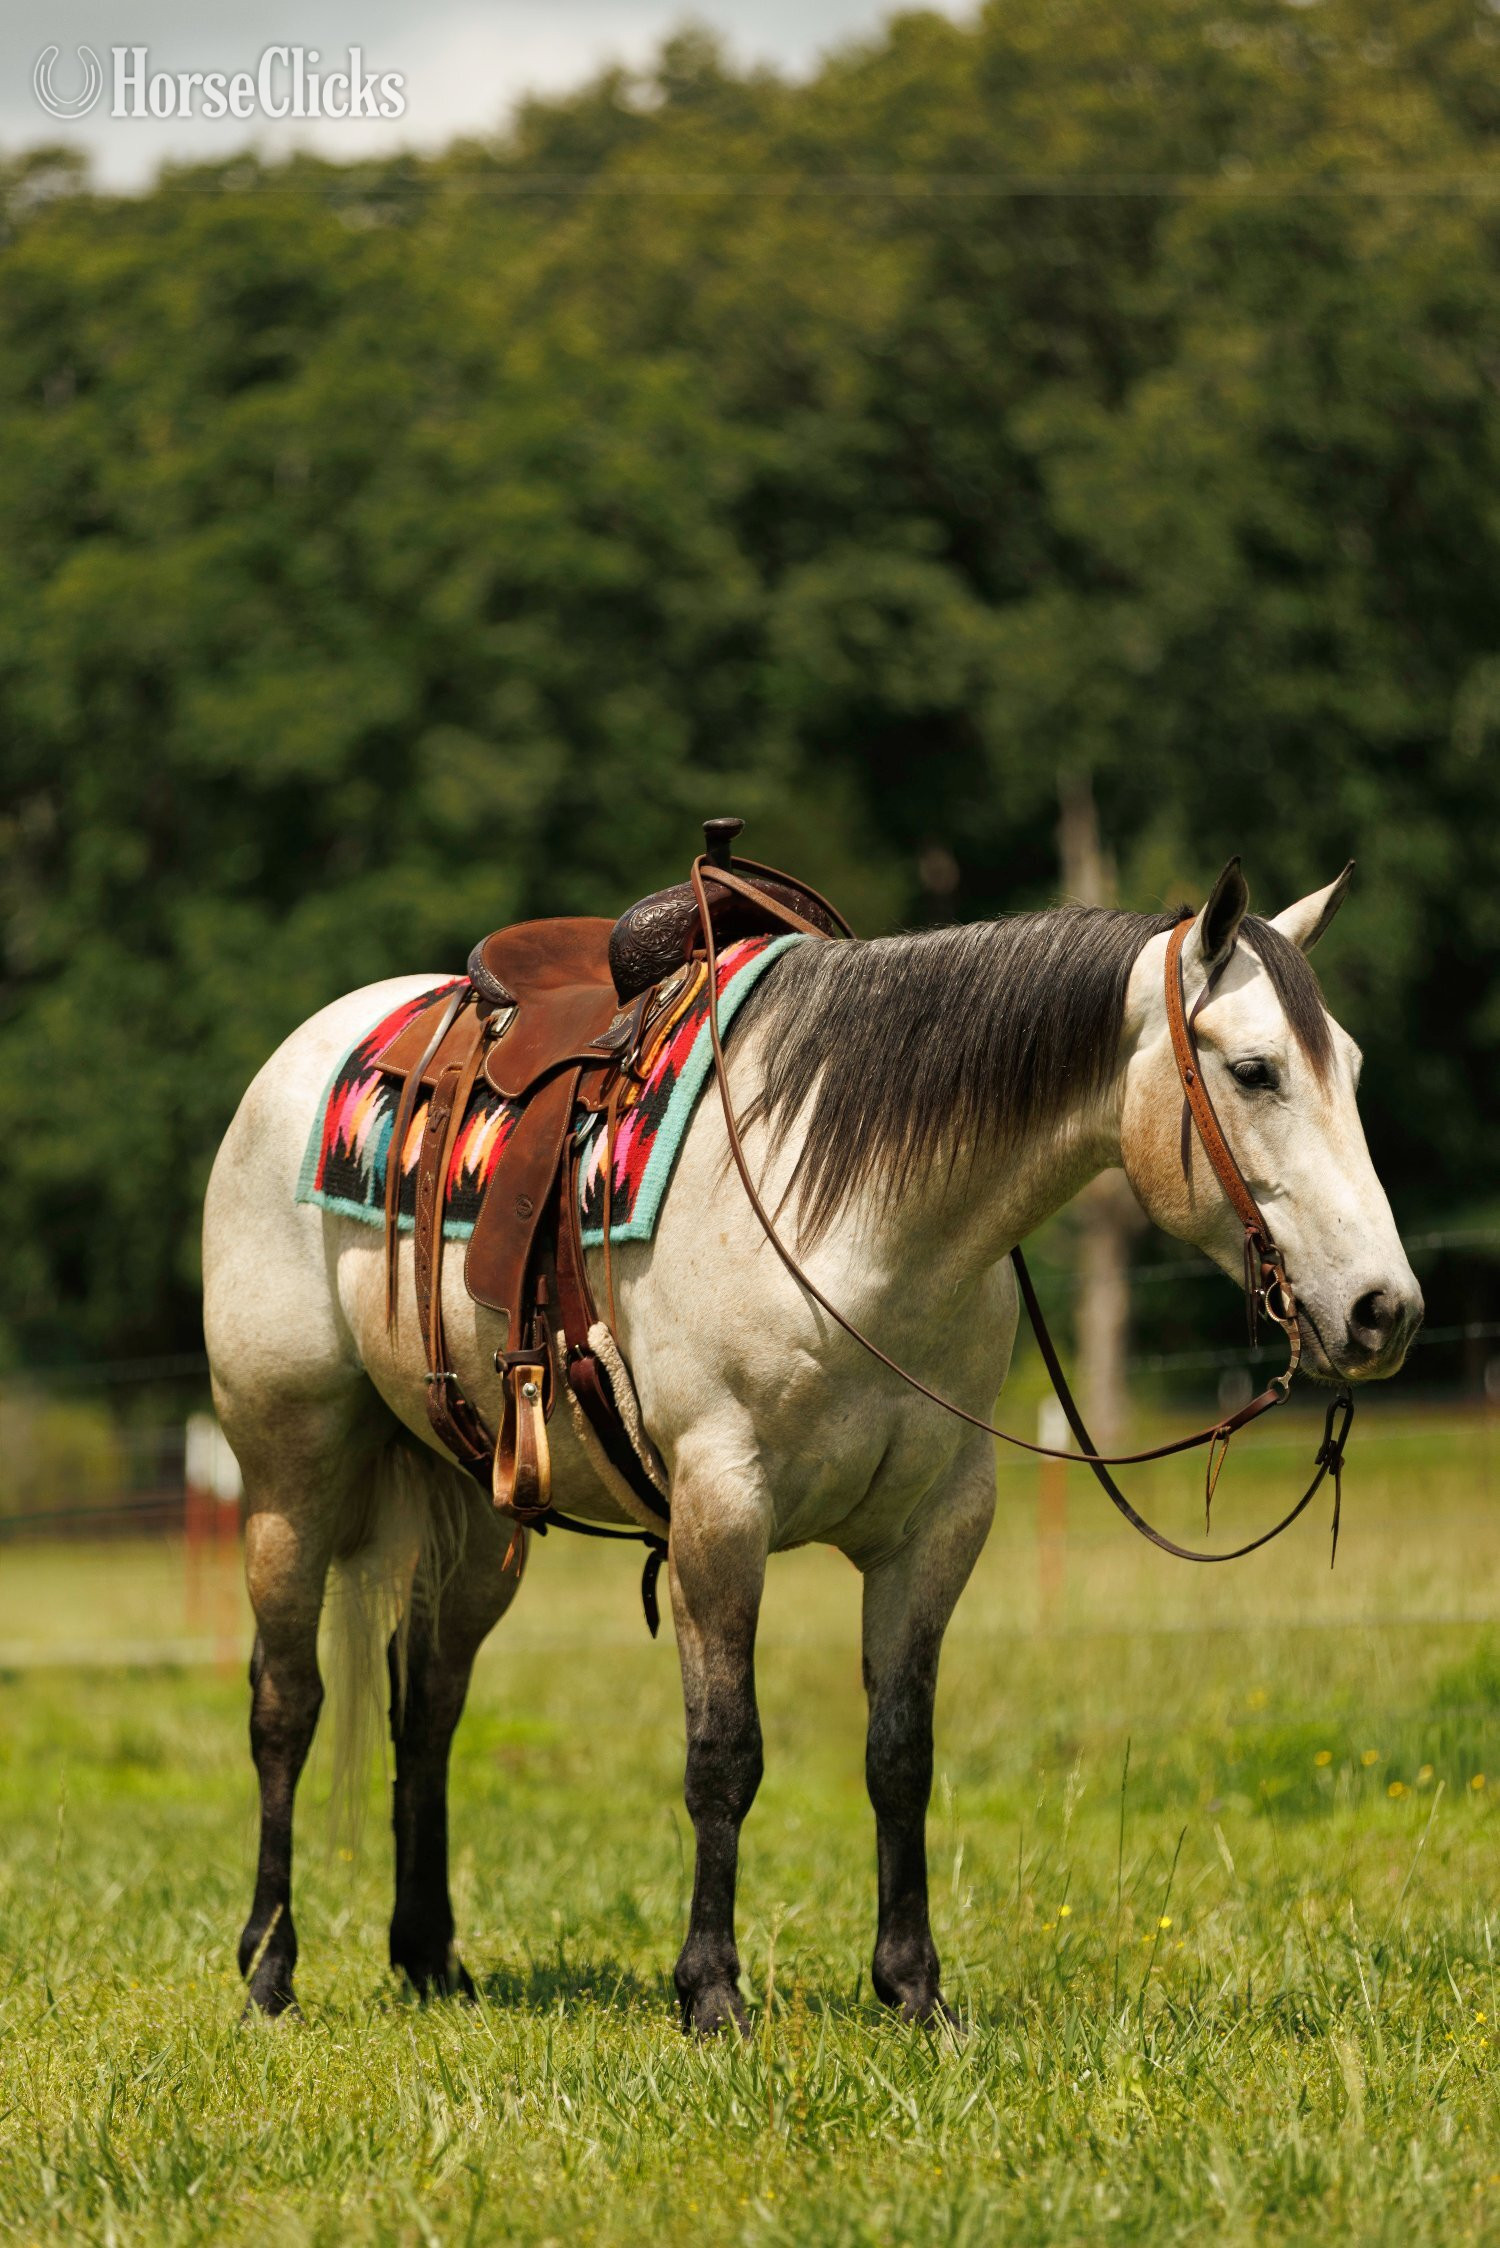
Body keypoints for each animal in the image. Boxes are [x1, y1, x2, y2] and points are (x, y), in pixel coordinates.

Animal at [202, 858, 1421, 2031]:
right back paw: (269, 1971)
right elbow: (724, 1755)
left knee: (427, 1702)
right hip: (290, 1476)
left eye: (1354, 1067)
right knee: (286, 1704)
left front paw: (914, 1989)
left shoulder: (938, 1529)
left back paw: (428, 1960)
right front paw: (711, 1992)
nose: (1384, 1311)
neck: (861, 1225)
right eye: (1255, 1071)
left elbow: (899, 1755)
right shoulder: (721, 1512)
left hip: (475, 1505)